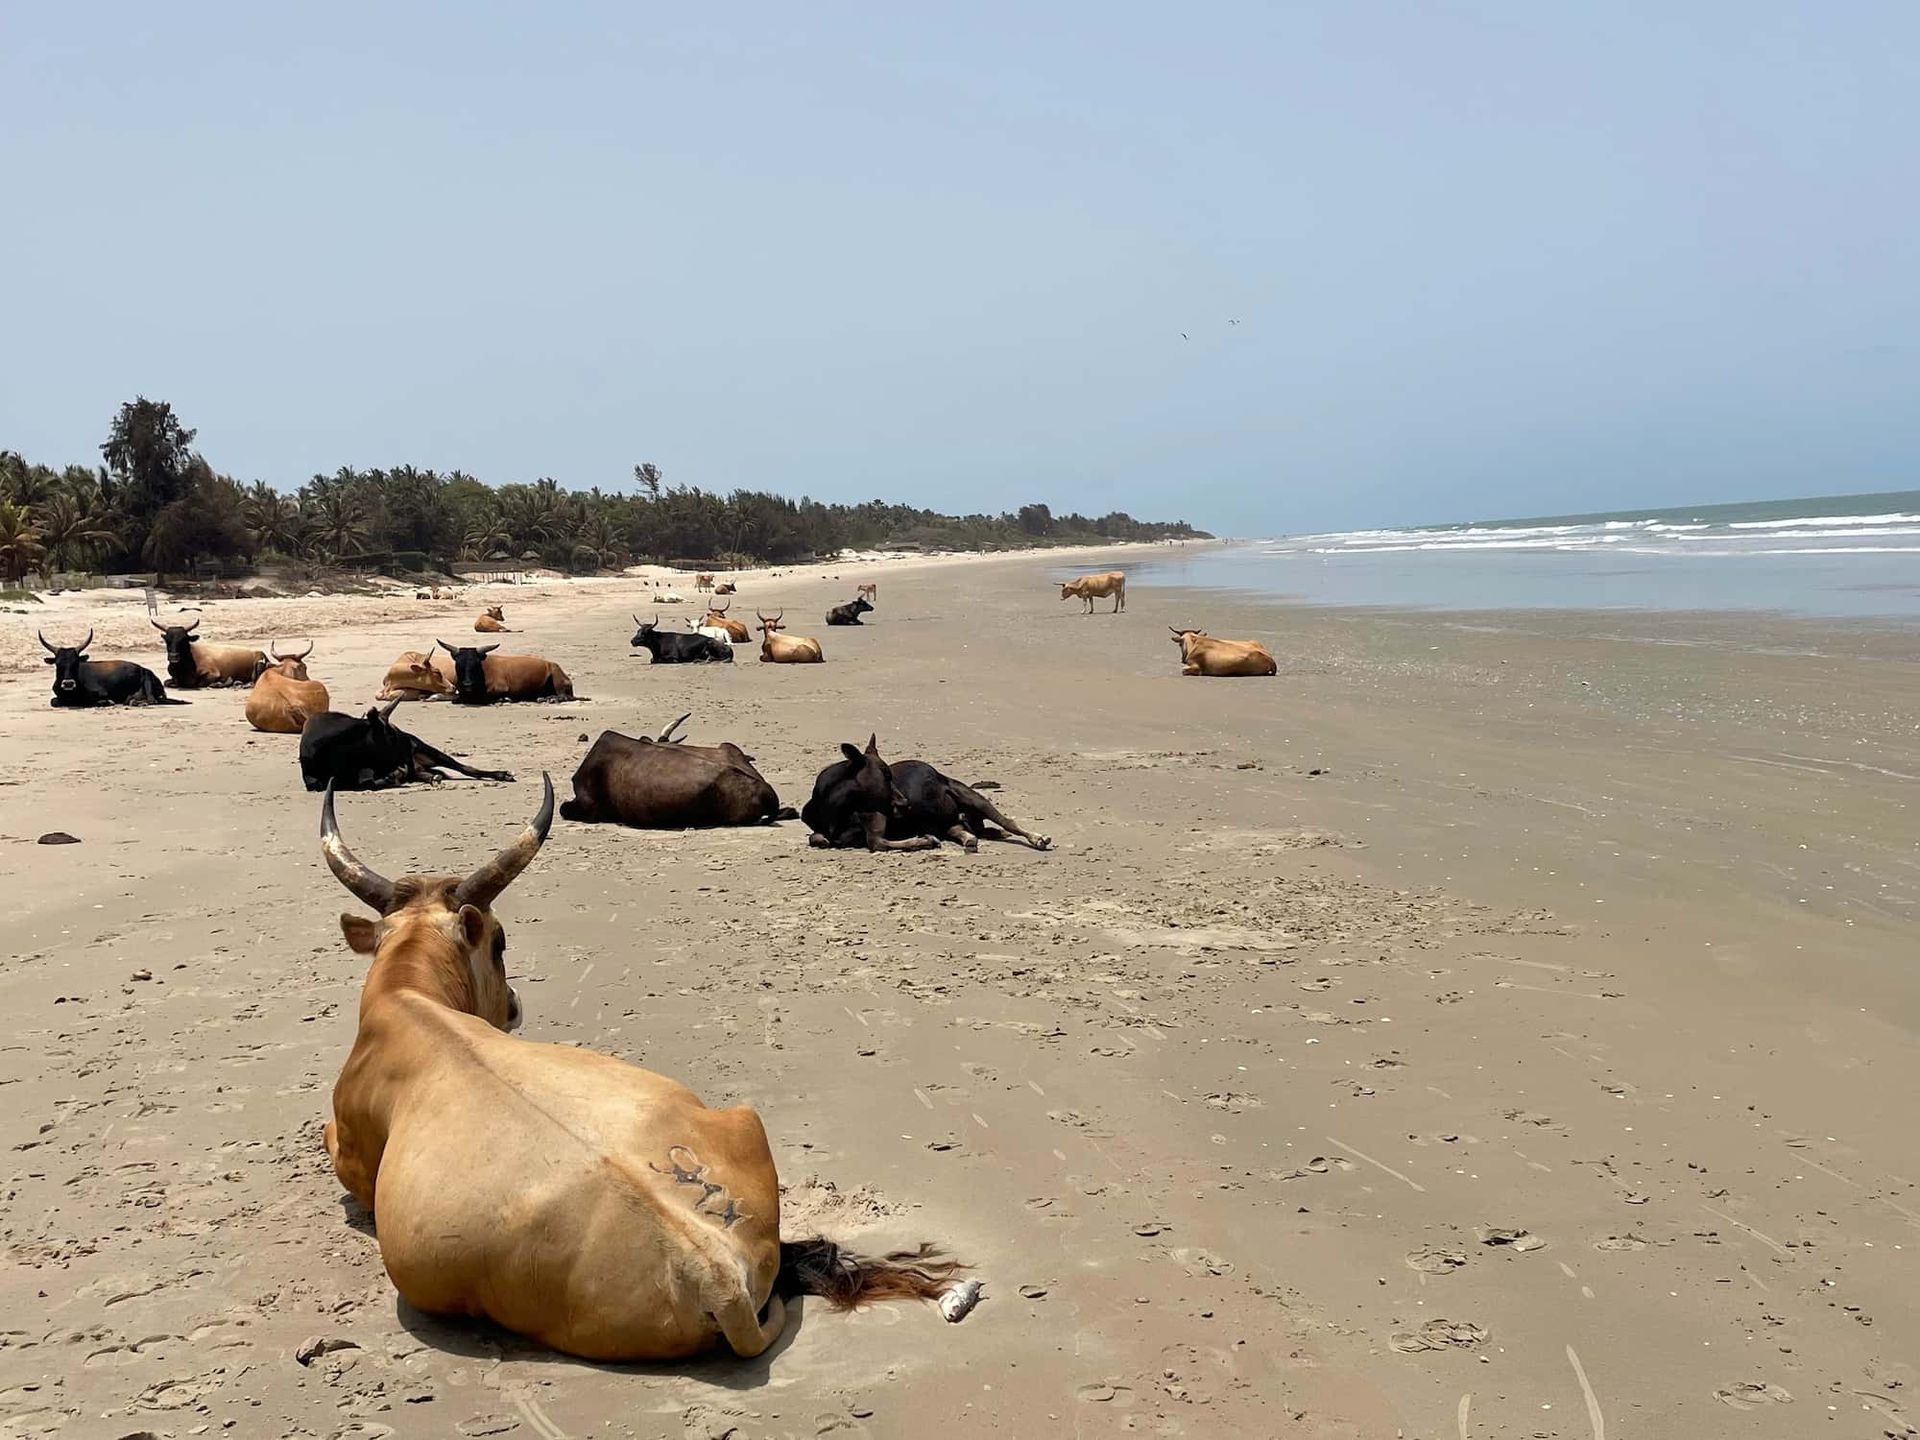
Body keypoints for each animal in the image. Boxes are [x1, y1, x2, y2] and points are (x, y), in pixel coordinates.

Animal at [40, 629, 185, 708]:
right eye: (58, 664)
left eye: (75, 663)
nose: (68, 683)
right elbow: (54, 701)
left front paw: (106, 702)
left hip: (147, 678)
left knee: (152, 700)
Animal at [300, 700, 516, 791]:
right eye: (392, 735)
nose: (409, 747)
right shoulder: (312, 778)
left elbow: (369, 782)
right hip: (419, 765)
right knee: (425, 774)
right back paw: (429, 777)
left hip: (430, 751)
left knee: (466, 768)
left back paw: (501, 774)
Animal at [436, 641, 576, 704]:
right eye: (458, 664)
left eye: (476, 664)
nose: (467, 684)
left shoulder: (500, 688)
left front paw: (504, 699)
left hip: (556, 674)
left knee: (565, 696)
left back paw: (552, 698)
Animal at [802, 735, 1051, 853]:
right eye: (886, 775)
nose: (905, 803)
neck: (830, 807)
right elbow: (817, 837)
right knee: (960, 829)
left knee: (1006, 822)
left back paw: (1036, 838)